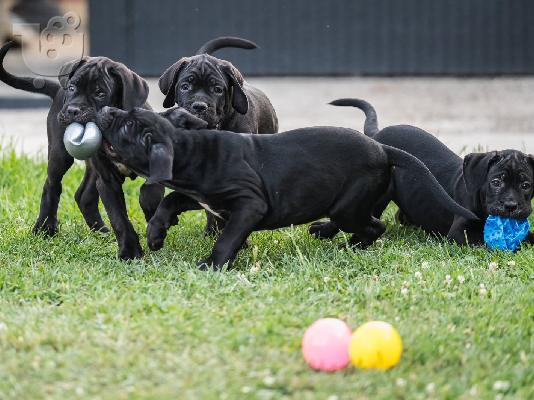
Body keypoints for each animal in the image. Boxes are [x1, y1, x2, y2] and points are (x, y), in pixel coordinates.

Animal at [95, 106, 478, 268]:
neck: (190, 149)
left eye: (127, 126)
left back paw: (351, 245)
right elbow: (172, 199)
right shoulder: (204, 197)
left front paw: (212, 264)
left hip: (349, 206)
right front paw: (156, 234)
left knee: (376, 225)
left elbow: (226, 239)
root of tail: (383, 148)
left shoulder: (250, 204)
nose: (106, 109)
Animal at [314, 98, 534, 245]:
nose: (511, 206)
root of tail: (377, 136)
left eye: (526, 185)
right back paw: (324, 230)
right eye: (496, 182)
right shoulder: (460, 232)